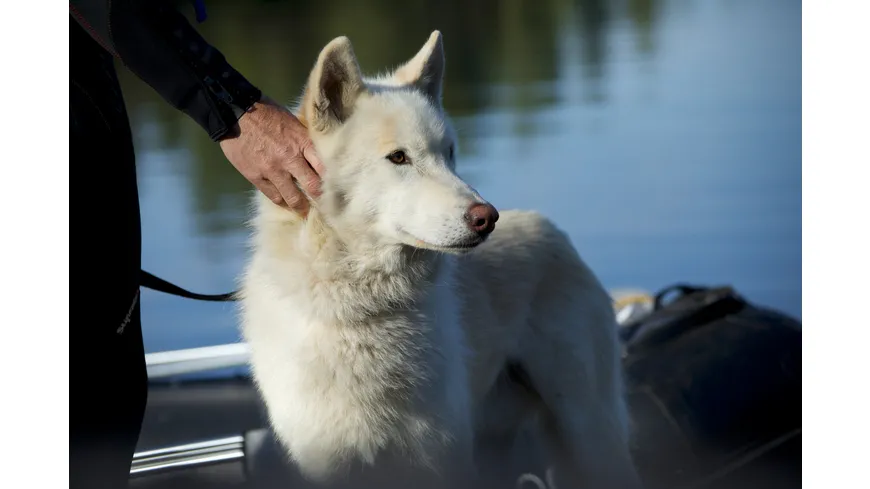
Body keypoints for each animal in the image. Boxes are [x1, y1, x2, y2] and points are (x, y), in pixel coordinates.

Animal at [238, 31, 643, 489]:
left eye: (449, 154)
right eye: (399, 157)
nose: (487, 218)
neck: (364, 312)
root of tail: (553, 229)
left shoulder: (437, 458)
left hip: (589, 435)